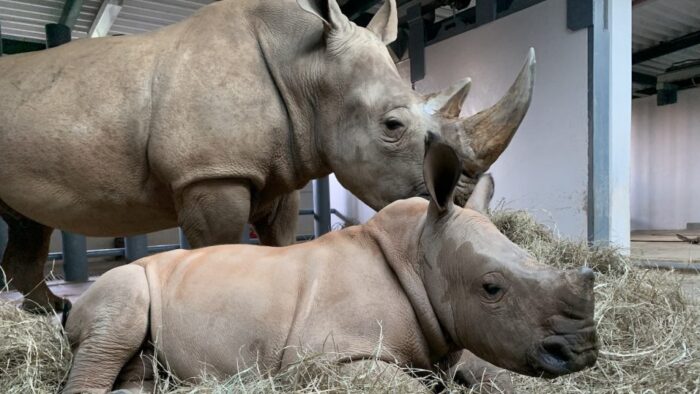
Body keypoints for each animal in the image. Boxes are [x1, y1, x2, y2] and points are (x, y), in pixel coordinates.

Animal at [0, 0, 532, 310]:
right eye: (393, 127)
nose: (458, 204)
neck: (307, 70)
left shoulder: (280, 173)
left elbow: (280, 243)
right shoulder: (211, 174)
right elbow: (217, 246)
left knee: (28, 222)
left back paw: (53, 313)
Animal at [64, 141, 596, 394]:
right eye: (491, 288)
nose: (584, 351)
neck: (418, 255)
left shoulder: (452, 335)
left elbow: (494, 375)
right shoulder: (324, 360)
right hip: (122, 280)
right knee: (116, 319)